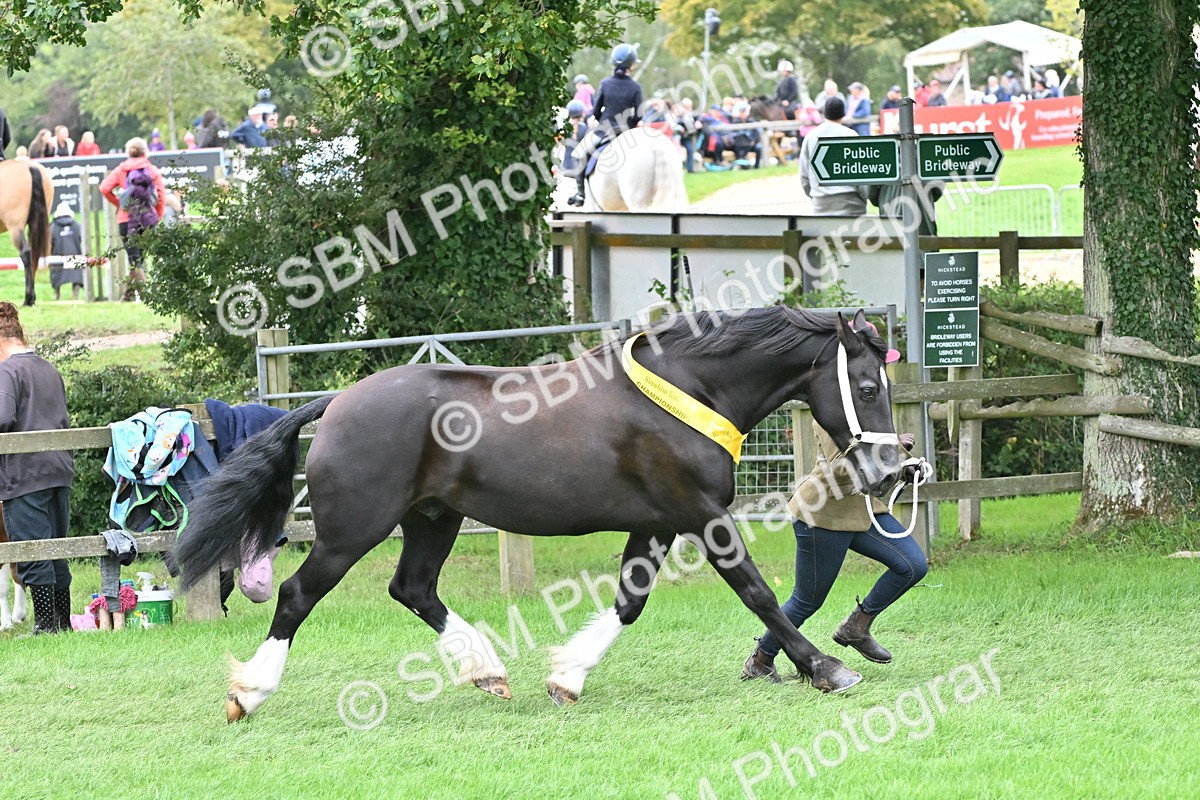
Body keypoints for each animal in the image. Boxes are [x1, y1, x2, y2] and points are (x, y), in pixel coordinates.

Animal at [0, 160, 53, 307]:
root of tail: (29, 166)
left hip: (15, 227)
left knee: (25, 253)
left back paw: (28, 298)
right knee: (34, 255)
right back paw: (32, 298)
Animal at [170, 306, 905, 722]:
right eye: (868, 386)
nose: (892, 470)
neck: (688, 392)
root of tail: (338, 402)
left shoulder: (658, 521)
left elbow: (629, 602)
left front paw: (566, 677)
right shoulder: (699, 513)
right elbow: (758, 593)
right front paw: (826, 670)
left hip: (432, 518)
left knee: (413, 588)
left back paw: (488, 671)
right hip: (353, 530)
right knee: (298, 594)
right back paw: (250, 693)